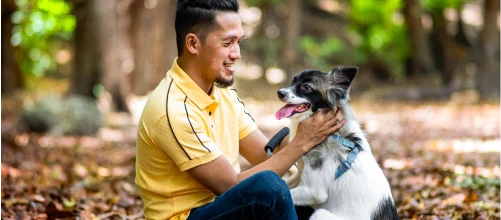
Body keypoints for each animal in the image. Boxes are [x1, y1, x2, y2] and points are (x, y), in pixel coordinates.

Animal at [276, 67, 396, 220]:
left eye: (306, 87)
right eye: (293, 82)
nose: (280, 92)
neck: (333, 134)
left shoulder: (314, 191)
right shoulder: (300, 174)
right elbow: (284, 183)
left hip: (319, 214)